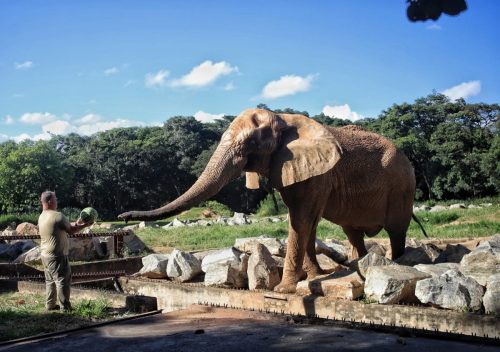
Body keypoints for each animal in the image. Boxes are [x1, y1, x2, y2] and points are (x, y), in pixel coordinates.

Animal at [119, 108, 424, 292]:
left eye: (250, 144)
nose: (122, 217)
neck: (284, 117)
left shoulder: (317, 173)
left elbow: (301, 220)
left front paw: (283, 290)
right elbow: (307, 222)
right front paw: (314, 277)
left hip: (402, 186)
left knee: (396, 229)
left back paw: (397, 264)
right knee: (353, 232)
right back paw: (358, 263)